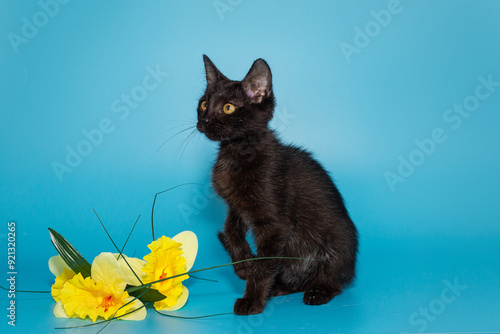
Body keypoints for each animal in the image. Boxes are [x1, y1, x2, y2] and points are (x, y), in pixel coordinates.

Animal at [197, 55, 358, 316]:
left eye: (228, 107)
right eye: (203, 104)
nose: (205, 120)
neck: (236, 152)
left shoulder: (274, 224)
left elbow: (264, 265)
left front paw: (251, 301)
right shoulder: (236, 206)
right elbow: (230, 231)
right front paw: (244, 263)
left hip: (340, 241)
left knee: (335, 278)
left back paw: (318, 290)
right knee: (293, 280)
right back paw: (278, 287)